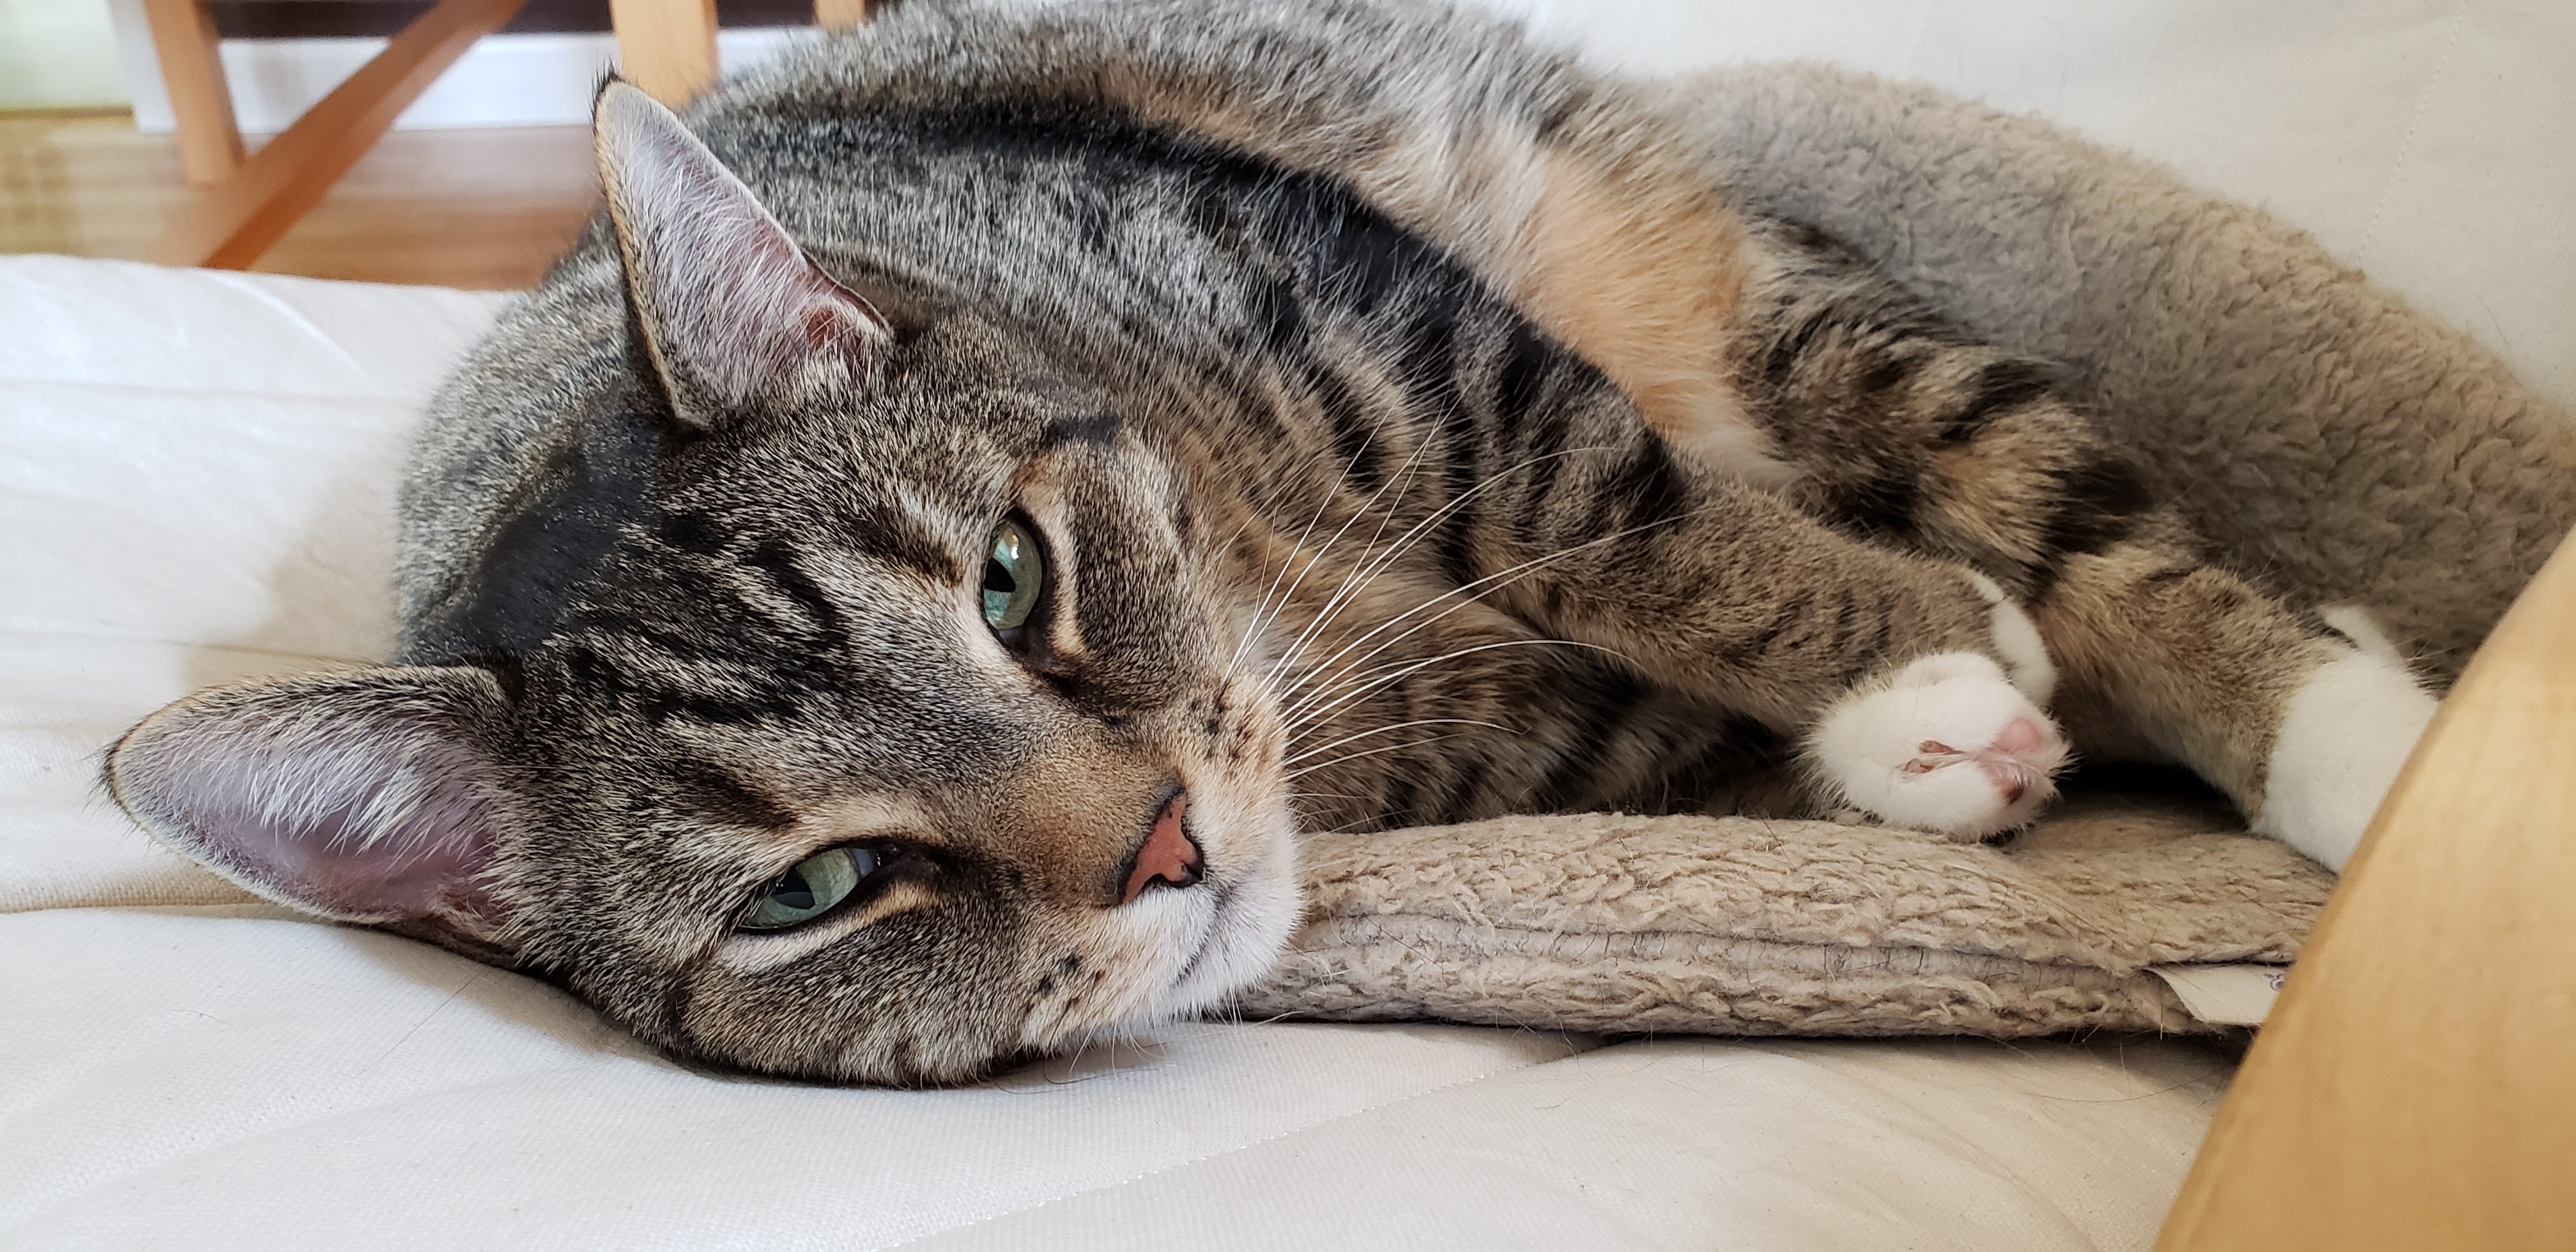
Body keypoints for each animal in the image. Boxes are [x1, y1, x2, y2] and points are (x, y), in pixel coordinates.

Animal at [100, 0, 2432, 1081]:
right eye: (816, 894)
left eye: (1014, 581)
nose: (1159, 844)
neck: (1274, 576)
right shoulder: (1510, 741)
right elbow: (1641, 712)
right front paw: (1915, 731)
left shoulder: (1403, 329)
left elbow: (1618, 524)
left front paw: (1909, 650)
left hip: (1807, 317)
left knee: (2076, 517)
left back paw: (2350, 739)